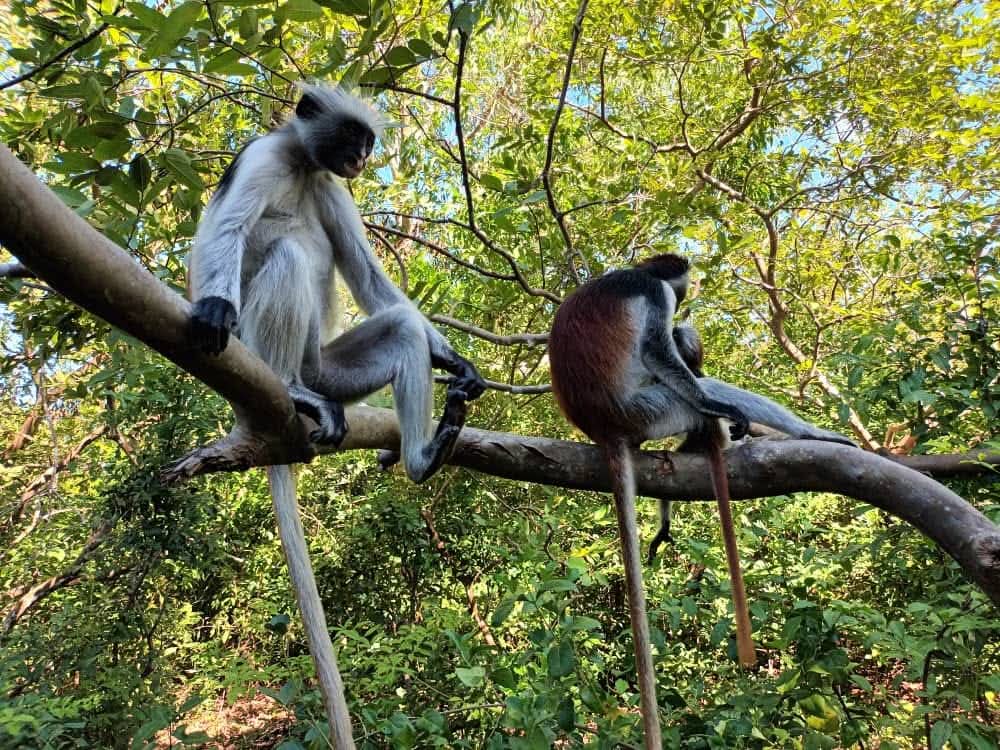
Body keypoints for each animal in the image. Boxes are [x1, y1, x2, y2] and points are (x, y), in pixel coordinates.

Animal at [185, 83, 485, 737]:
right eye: (354, 138)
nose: (363, 158)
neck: (302, 166)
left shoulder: (330, 184)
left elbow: (371, 280)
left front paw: (457, 362)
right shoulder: (264, 157)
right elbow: (226, 231)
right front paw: (213, 307)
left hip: (332, 368)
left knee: (401, 326)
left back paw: (423, 455)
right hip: (265, 347)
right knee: (289, 255)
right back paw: (293, 390)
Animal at [548, 253, 750, 749]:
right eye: (680, 287)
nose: (687, 294)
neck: (639, 271)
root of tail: (604, 425)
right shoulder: (656, 296)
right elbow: (659, 352)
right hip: (652, 409)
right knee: (685, 390)